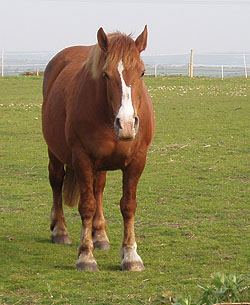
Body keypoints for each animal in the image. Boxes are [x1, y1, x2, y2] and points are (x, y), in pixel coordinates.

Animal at [41, 25, 154, 270]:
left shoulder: (137, 160)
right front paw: (86, 255)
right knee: (56, 181)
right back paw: (60, 230)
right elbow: (87, 205)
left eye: (142, 72)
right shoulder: (82, 158)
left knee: (98, 188)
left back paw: (100, 235)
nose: (127, 124)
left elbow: (128, 205)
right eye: (106, 74)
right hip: (55, 152)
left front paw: (131, 256)